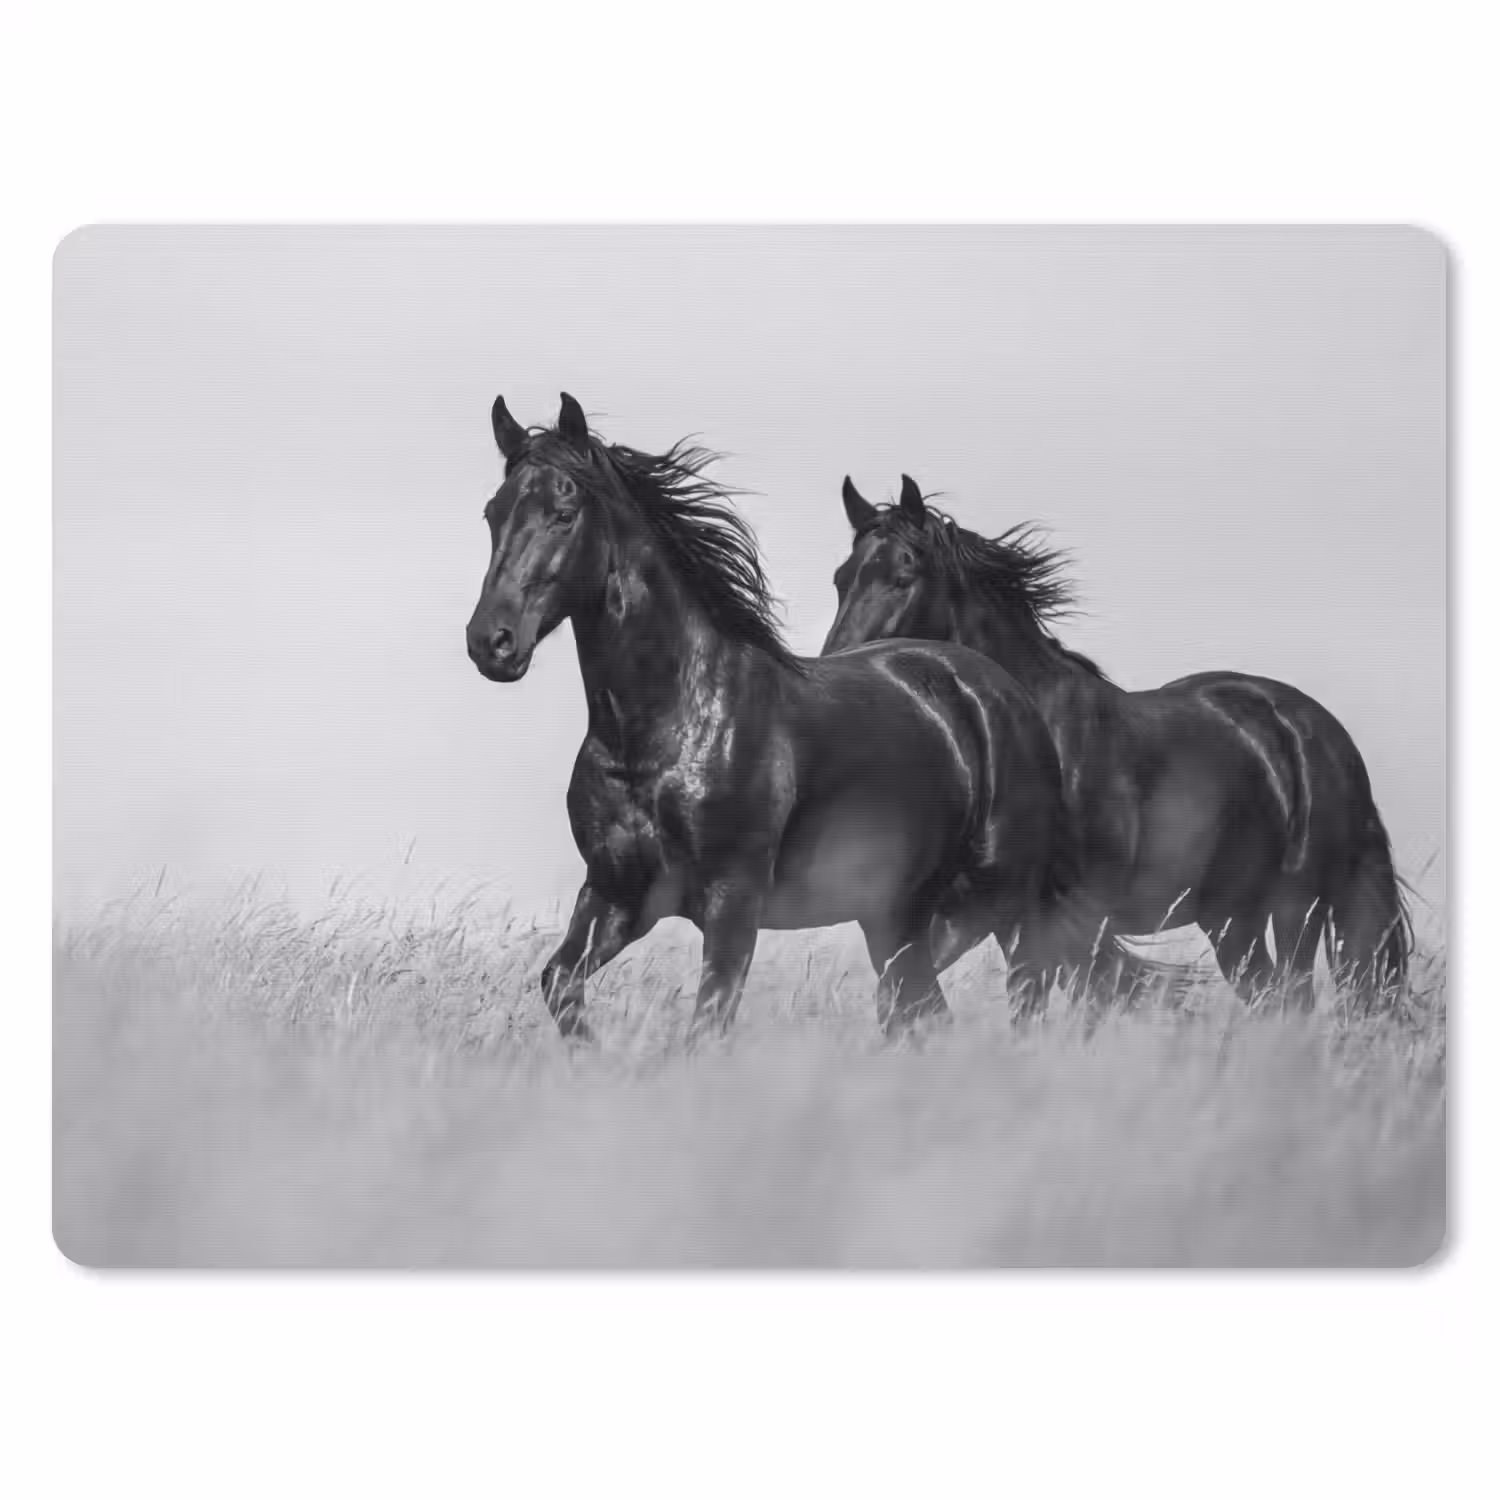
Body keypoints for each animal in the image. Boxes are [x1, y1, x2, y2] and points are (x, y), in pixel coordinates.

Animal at [465, 394, 1116, 1042]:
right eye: (493, 513)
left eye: (563, 511)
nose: (490, 643)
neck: (662, 730)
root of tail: (1004, 694)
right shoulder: (615, 892)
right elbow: (559, 983)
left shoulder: (732, 900)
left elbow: (708, 1024)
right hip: (899, 916)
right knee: (917, 1010)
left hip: (1007, 903)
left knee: (1023, 1004)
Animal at [823, 475, 1411, 1011]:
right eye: (841, 578)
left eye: (905, 574)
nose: (840, 667)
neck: (1042, 733)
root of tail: (1320, 732)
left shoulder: (1061, 918)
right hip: (1231, 917)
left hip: (1296, 908)